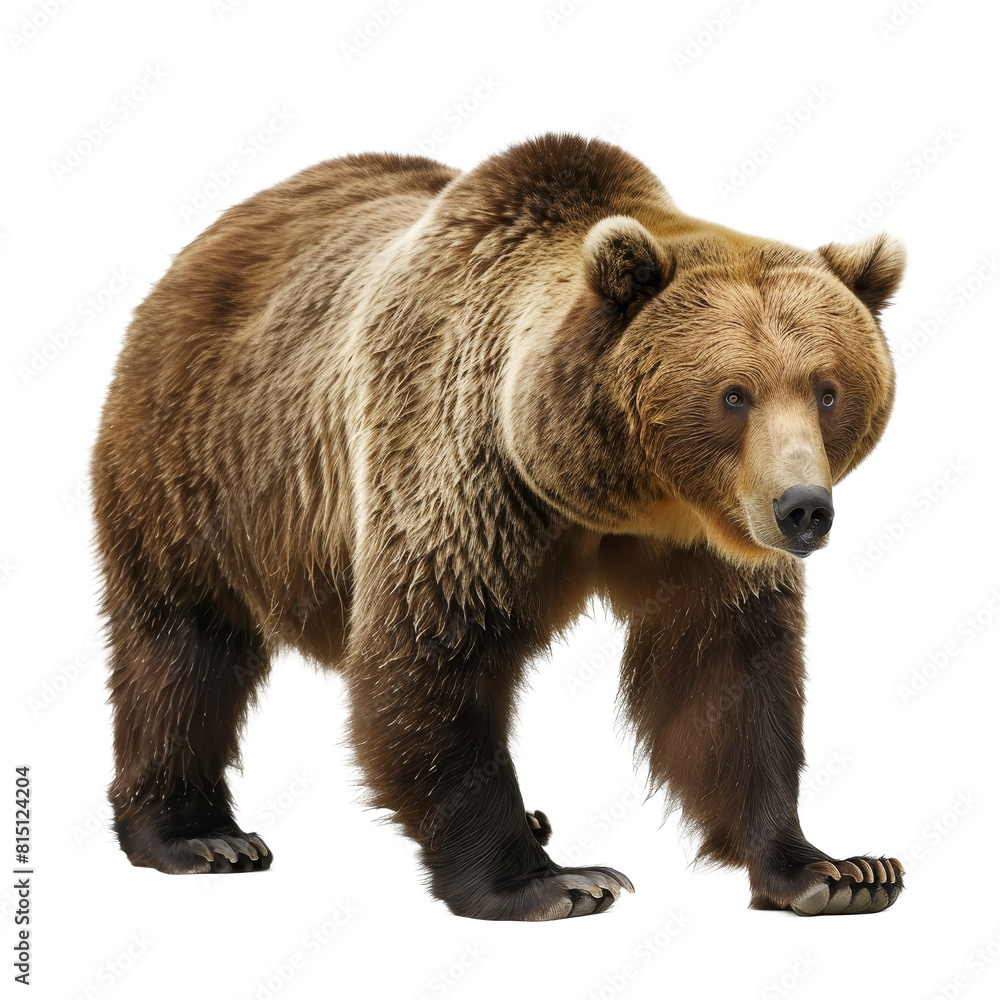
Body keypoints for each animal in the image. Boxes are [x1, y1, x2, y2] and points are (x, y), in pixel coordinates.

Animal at [92, 133, 906, 920]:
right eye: (733, 394)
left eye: (828, 389)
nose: (802, 508)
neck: (617, 491)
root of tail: (208, 240)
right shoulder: (465, 474)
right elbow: (434, 655)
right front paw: (553, 883)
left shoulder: (706, 539)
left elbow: (726, 677)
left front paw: (835, 871)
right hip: (198, 460)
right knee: (184, 647)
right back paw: (199, 835)